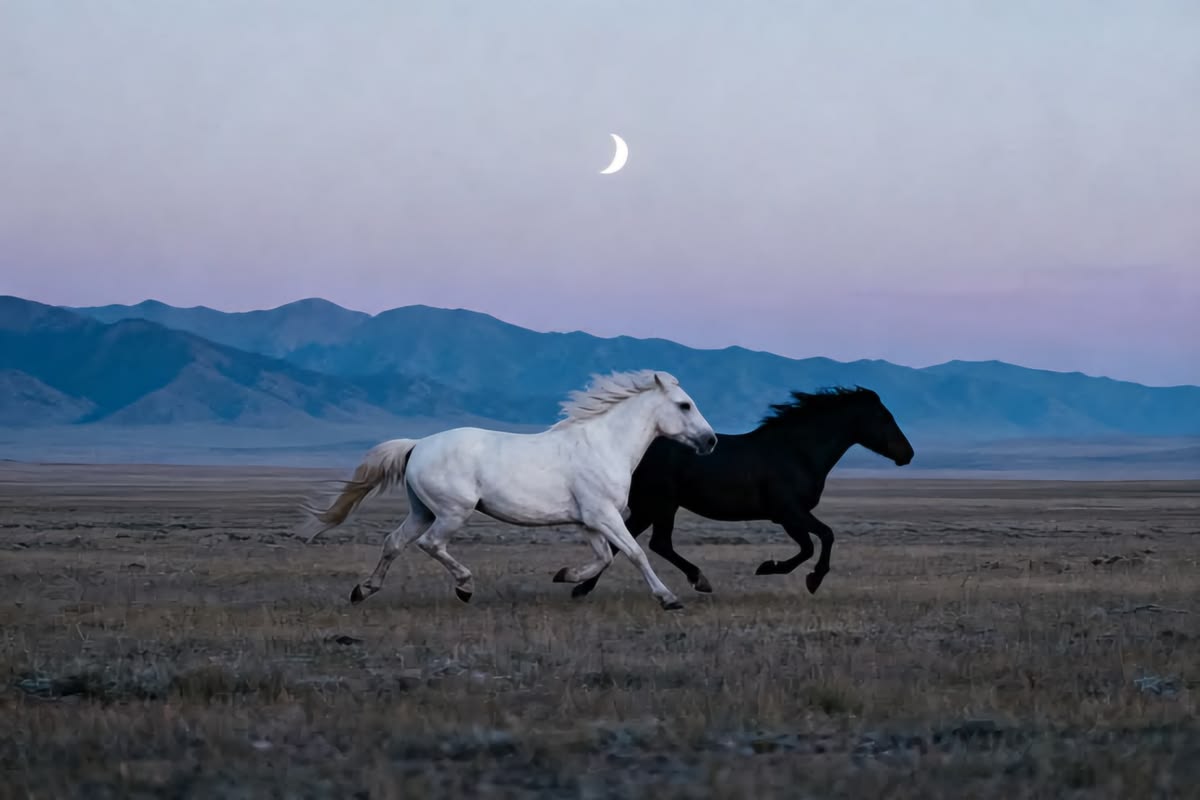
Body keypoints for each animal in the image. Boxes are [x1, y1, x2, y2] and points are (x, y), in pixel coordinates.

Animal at [300, 369, 718, 611]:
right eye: (684, 405)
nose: (711, 441)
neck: (604, 445)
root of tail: (417, 445)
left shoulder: (588, 521)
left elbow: (603, 558)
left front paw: (565, 575)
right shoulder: (604, 515)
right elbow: (633, 553)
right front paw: (668, 598)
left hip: (422, 510)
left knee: (394, 542)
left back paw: (363, 590)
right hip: (452, 511)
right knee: (431, 544)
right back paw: (465, 587)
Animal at [560, 386, 914, 600]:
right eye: (886, 417)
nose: (907, 454)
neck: (797, 451)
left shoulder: (789, 517)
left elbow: (810, 545)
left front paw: (776, 568)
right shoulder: (790, 512)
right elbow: (822, 539)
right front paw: (801, 576)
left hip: (654, 508)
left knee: (638, 542)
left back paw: (582, 587)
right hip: (660, 505)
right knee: (653, 543)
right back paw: (697, 580)